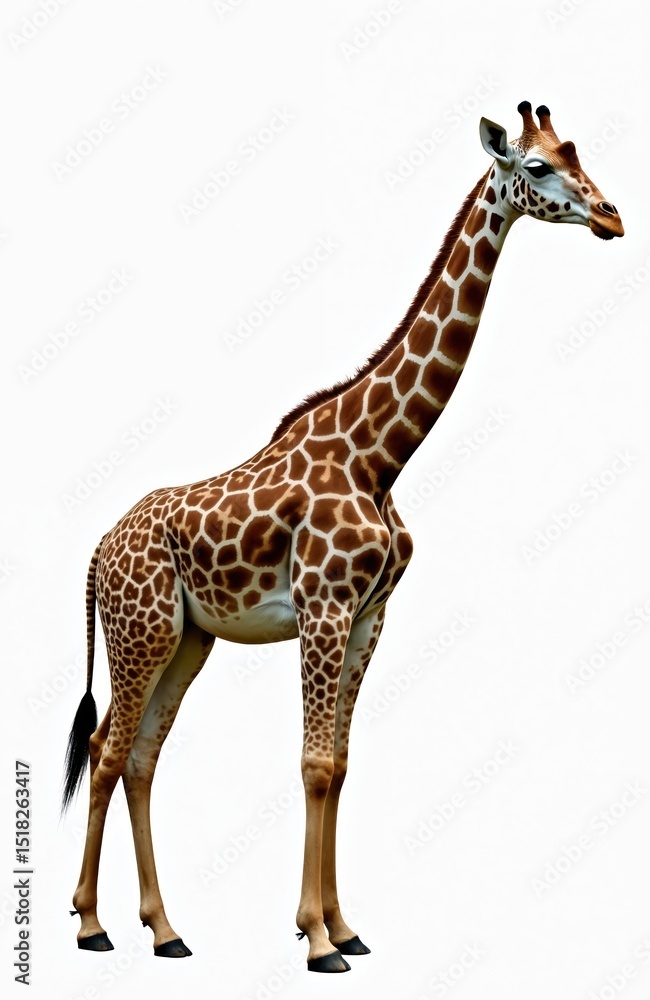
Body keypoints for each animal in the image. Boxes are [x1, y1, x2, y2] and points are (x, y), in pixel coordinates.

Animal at [62, 103, 623, 973]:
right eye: (536, 166)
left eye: (578, 154)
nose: (612, 216)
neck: (378, 455)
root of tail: (96, 550)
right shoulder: (323, 608)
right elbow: (315, 763)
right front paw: (318, 939)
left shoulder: (369, 615)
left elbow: (344, 763)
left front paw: (345, 927)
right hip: (140, 631)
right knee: (106, 751)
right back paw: (92, 926)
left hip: (188, 639)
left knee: (144, 756)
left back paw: (166, 930)